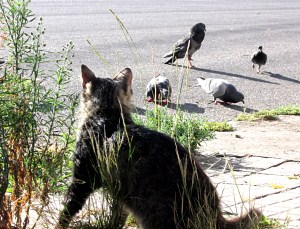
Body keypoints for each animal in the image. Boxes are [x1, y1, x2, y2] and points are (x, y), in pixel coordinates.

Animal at [55, 65, 260, 229]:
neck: (107, 115)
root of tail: (216, 214)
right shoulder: (120, 197)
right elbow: (117, 217)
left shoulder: (82, 180)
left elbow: (65, 214)